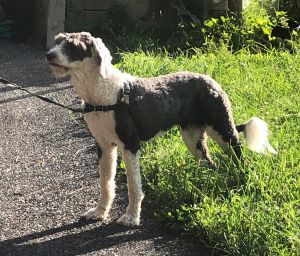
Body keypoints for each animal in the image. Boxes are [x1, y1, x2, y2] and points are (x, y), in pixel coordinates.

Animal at [46, 32, 276, 226]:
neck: (102, 94)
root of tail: (211, 81)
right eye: (57, 40)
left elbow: (133, 184)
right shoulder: (104, 146)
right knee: (211, 164)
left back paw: (246, 182)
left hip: (223, 129)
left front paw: (131, 217)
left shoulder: (130, 145)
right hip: (193, 137)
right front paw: (100, 212)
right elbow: (106, 183)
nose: (49, 55)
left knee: (241, 158)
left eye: (73, 46)